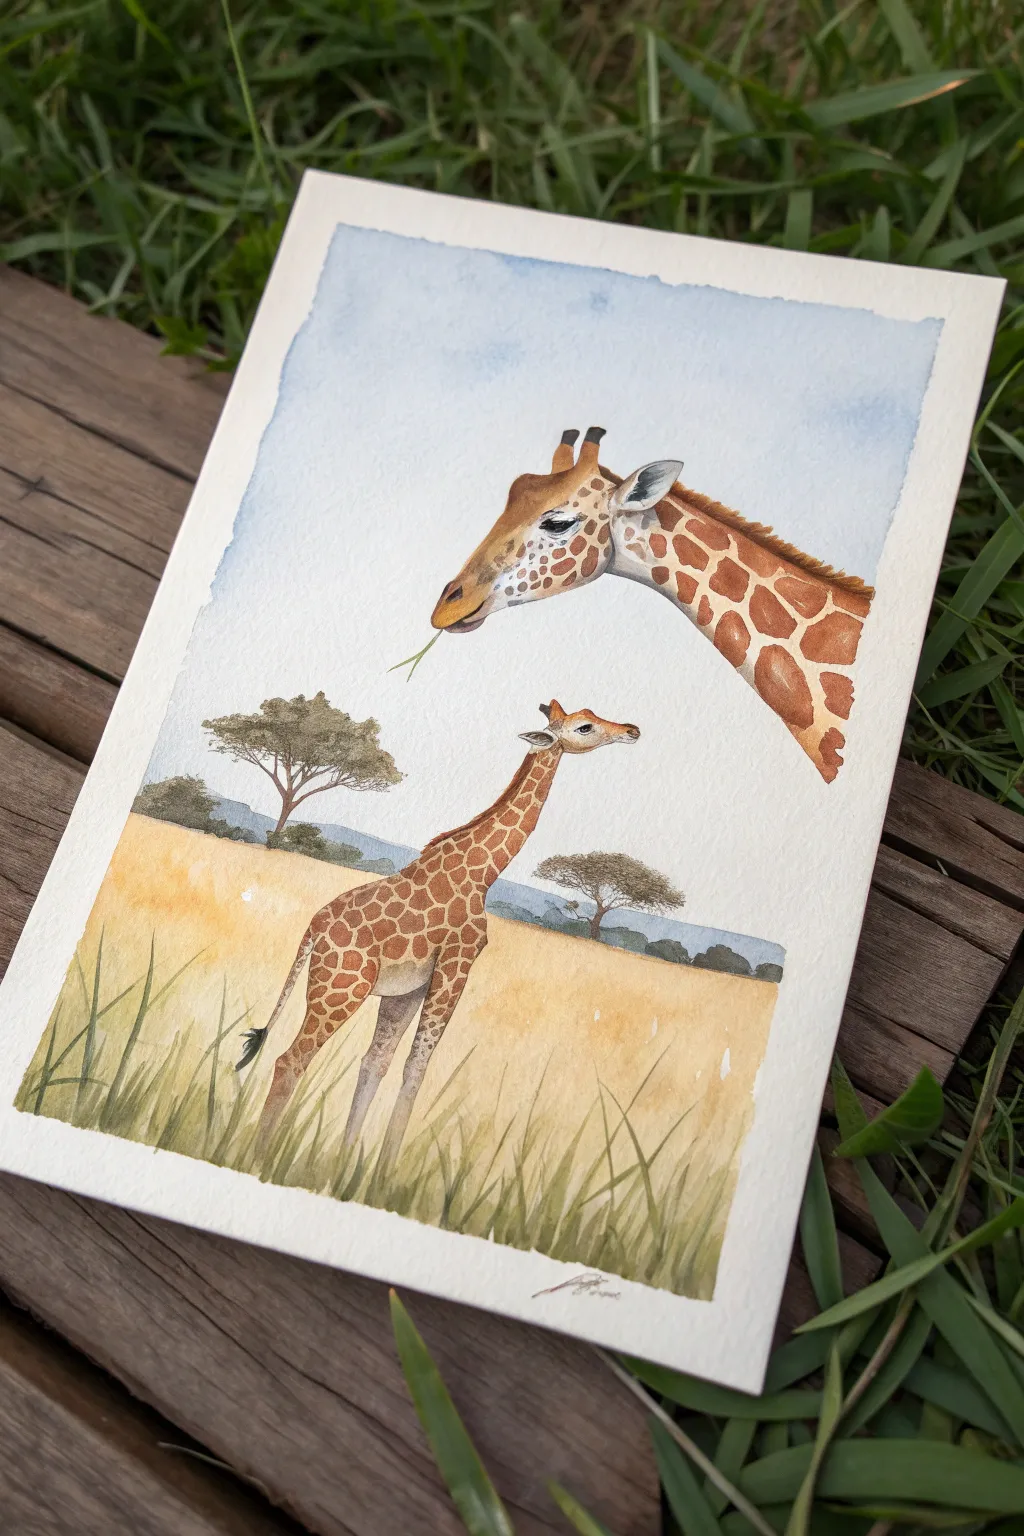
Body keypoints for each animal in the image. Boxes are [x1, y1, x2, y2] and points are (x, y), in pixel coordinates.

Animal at [241, 700, 639, 1171]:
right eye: (585, 726)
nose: (632, 730)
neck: (484, 871)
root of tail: (313, 929)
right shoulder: (457, 965)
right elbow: (416, 1070)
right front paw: (382, 1175)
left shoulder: (409, 988)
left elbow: (376, 1063)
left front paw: (346, 1165)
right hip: (341, 989)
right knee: (291, 1060)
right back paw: (257, 1159)